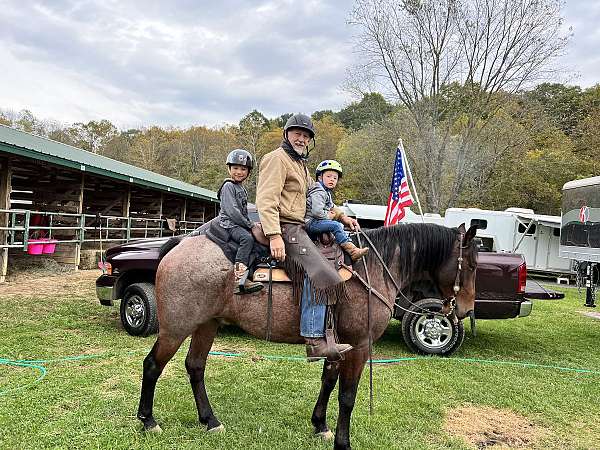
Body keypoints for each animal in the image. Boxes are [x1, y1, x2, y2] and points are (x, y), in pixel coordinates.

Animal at [136, 222, 478, 450]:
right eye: (473, 264)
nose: (464, 309)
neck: (372, 270)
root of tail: (178, 244)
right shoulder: (359, 346)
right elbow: (347, 396)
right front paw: (343, 442)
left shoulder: (337, 345)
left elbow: (328, 381)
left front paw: (320, 425)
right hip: (176, 328)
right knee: (152, 365)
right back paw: (149, 421)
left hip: (207, 324)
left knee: (195, 366)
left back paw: (210, 421)